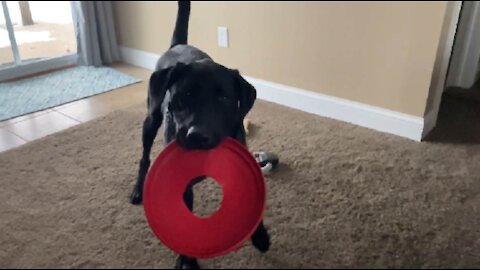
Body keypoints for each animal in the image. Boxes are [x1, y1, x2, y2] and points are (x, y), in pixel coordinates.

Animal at [129, 1, 272, 268]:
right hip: (151, 118)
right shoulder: (181, 186)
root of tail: (176, 46)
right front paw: (187, 261)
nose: (196, 135)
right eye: (183, 97)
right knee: (144, 156)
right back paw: (137, 189)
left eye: (223, 98)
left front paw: (260, 236)